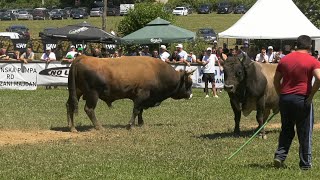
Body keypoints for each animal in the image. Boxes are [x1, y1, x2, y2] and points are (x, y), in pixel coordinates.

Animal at [66, 54, 194, 131]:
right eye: (189, 83)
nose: (191, 95)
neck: (157, 72)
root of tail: (82, 57)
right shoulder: (141, 95)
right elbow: (136, 110)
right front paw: (130, 125)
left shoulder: (142, 98)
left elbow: (140, 111)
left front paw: (141, 123)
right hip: (92, 94)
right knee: (89, 109)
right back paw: (99, 126)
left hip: (76, 92)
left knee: (70, 105)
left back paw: (72, 127)